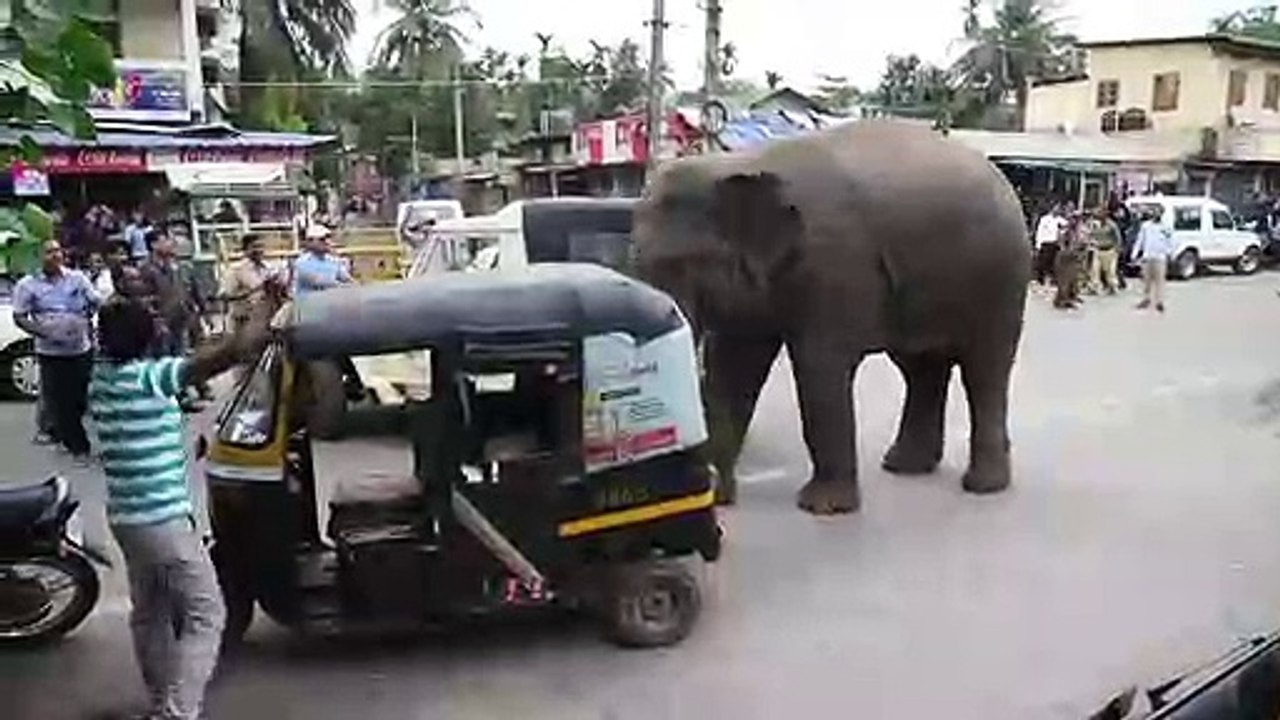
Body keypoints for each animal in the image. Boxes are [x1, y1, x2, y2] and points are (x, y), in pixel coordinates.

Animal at [634, 120, 1034, 512]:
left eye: (681, 265)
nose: (713, 488)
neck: (742, 164)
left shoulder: (832, 264)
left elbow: (819, 365)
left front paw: (823, 507)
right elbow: (734, 365)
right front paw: (719, 496)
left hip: (1002, 278)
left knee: (984, 370)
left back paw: (983, 485)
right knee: (920, 368)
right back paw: (905, 466)